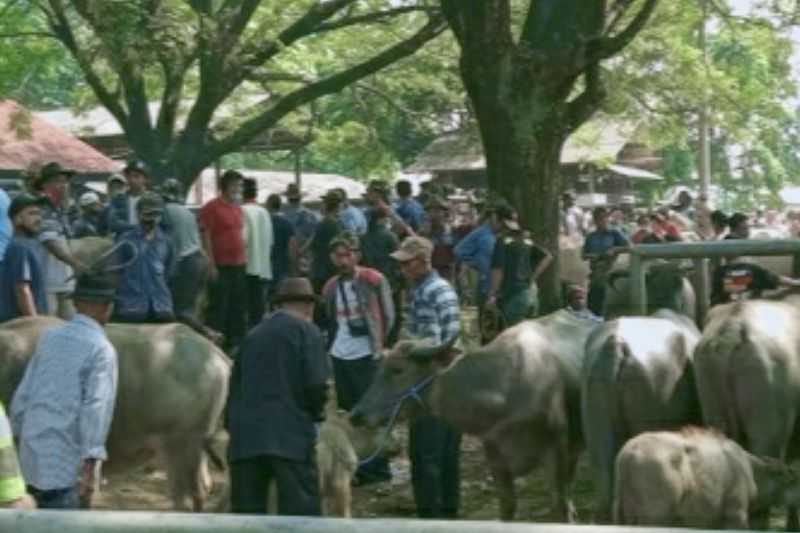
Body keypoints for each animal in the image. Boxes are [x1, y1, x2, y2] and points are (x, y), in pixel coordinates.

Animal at [350, 308, 600, 520]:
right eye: (379, 369)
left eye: (397, 370)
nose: (356, 414)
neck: (503, 391)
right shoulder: (497, 461)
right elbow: (507, 507)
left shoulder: (555, 453)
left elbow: (560, 507)